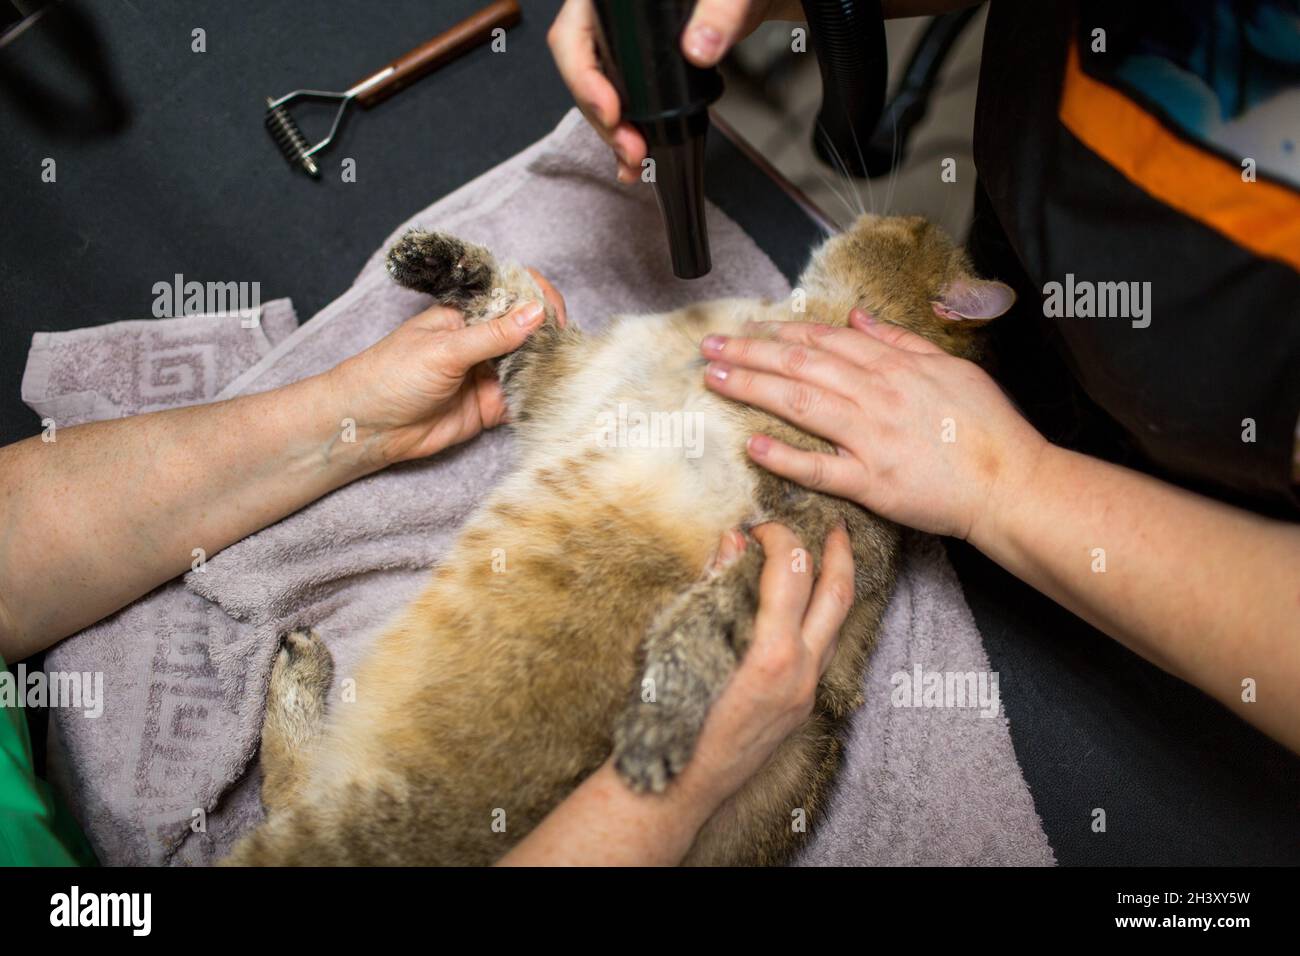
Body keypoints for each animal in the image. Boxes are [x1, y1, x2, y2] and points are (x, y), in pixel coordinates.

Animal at [223, 214, 1013, 868]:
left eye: (907, 225)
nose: (863, 211)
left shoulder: (807, 532)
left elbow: (712, 621)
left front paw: (660, 721)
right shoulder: (567, 380)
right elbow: (513, 301)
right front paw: (433, 257)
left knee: (282, 806)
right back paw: (299, 672)